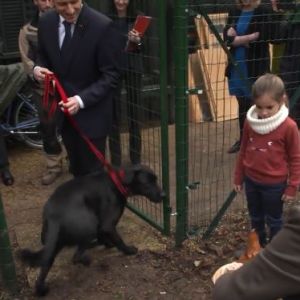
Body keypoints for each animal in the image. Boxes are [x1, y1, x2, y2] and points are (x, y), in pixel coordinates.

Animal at [19, 165, 164, 296]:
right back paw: (86, 258)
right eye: (147, 183)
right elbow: (118, 240)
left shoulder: (102, 226)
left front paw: (107, 244)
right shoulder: (107, 224)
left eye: (156, 179)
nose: (164, 195)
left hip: (53, 243)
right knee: (76, 257)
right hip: (89, 226)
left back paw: (41, 290)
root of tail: (53, 215)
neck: (118, 181)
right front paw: (128, 250)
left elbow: (105, 237)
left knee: (45, 264)